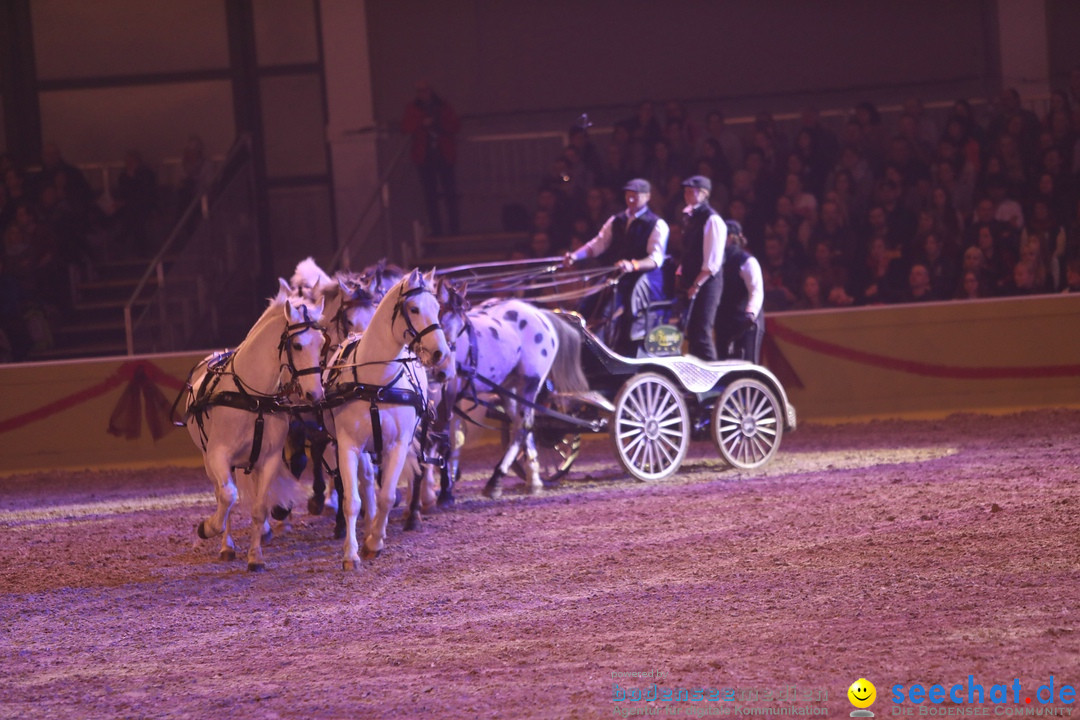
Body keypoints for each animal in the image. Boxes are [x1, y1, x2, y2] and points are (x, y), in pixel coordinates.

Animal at [181, 284, 326, 569]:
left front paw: (255, 556)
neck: (253, 398)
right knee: (222, 494)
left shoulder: (268, 459)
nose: (315, 394)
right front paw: (208, 528)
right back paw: (226, 545)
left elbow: (259, 508)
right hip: (208, 458)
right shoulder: (218, 455)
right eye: (297, 345)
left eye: (322, 343)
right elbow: (227, 496)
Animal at [321, 266, 453, 569]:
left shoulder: (398, 444)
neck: (376, 384)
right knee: (367, 481)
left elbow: (387, 495)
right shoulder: (348, 444)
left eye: (437, 308)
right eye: (414, 309)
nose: (441, 354)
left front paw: (375, 541)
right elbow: (352, 500)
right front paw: (351, 553)